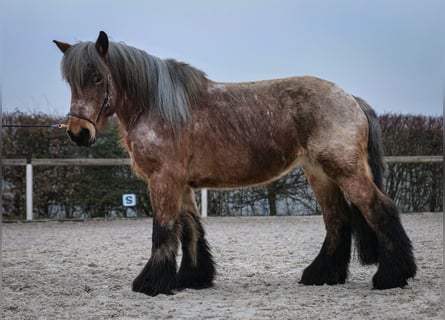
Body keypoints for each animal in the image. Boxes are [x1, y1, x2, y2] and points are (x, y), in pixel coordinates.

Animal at [53, 31, 414, 296]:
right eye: (71, 82)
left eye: (98, 78)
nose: (78, 132)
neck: (157, 106)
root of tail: (351, 98)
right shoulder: (182, 184)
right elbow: (190, 229)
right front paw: (193, 278)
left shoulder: (163, 179)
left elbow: (163, 229)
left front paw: (152, 283)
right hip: (320, 173)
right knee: (337, 220)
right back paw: (322, 274)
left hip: (345, 170)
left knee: (378, 209)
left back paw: (392, 276)